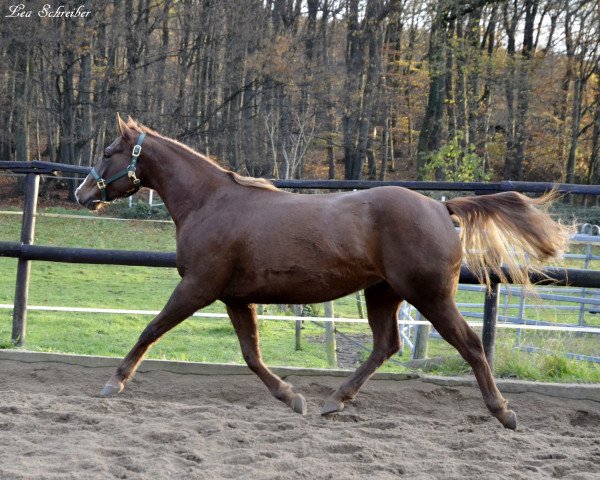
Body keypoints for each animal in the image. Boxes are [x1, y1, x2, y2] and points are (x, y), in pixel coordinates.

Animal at [75, 114, 568, 430]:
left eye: (109, 151)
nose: (82, 194)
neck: (210, 203)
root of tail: (440, 207)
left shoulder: (198, 286)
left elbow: (151, 330)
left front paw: (113, 383)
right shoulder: (235, 297)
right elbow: (251, 356)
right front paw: (293, 398)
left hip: (430, 295)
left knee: (469, 345)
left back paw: (504, 413)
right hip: (383, 293)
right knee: (386, 346)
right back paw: (335, 401)